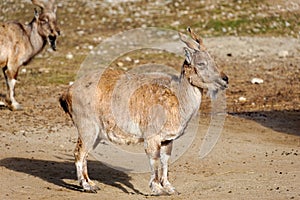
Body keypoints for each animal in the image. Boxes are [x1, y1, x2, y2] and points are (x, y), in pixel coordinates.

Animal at [59, 28, 229, 195]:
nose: (225, 79)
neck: (177, 97)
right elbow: (154, 160)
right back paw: (87, 186)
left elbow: (165, 160)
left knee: (85, 154)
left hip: (97, 134)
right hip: (87, 126)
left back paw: (91, 183)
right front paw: (157, 188)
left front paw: (169, 188)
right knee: (79, 153)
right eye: (201, 63)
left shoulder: (167, 139)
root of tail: (68, 92)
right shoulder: (151, 136)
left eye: (213, 60)